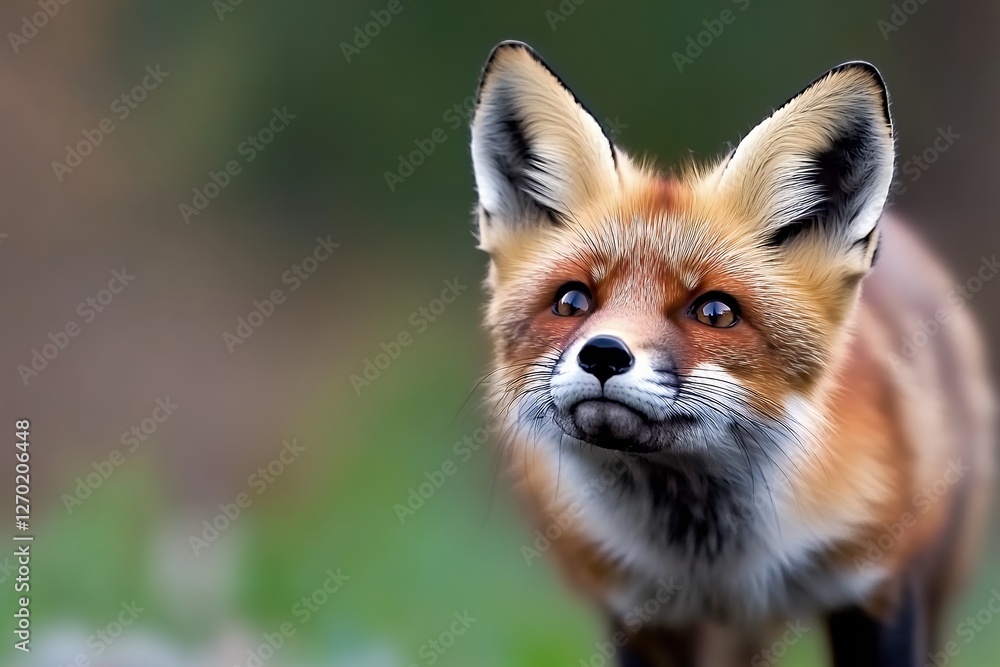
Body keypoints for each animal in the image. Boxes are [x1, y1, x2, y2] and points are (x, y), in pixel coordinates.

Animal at [469, 41, 995, 666]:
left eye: (715, 311)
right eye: (572, 301)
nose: (602, 355)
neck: (719, 566)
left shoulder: (878, 589)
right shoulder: (641, 616)